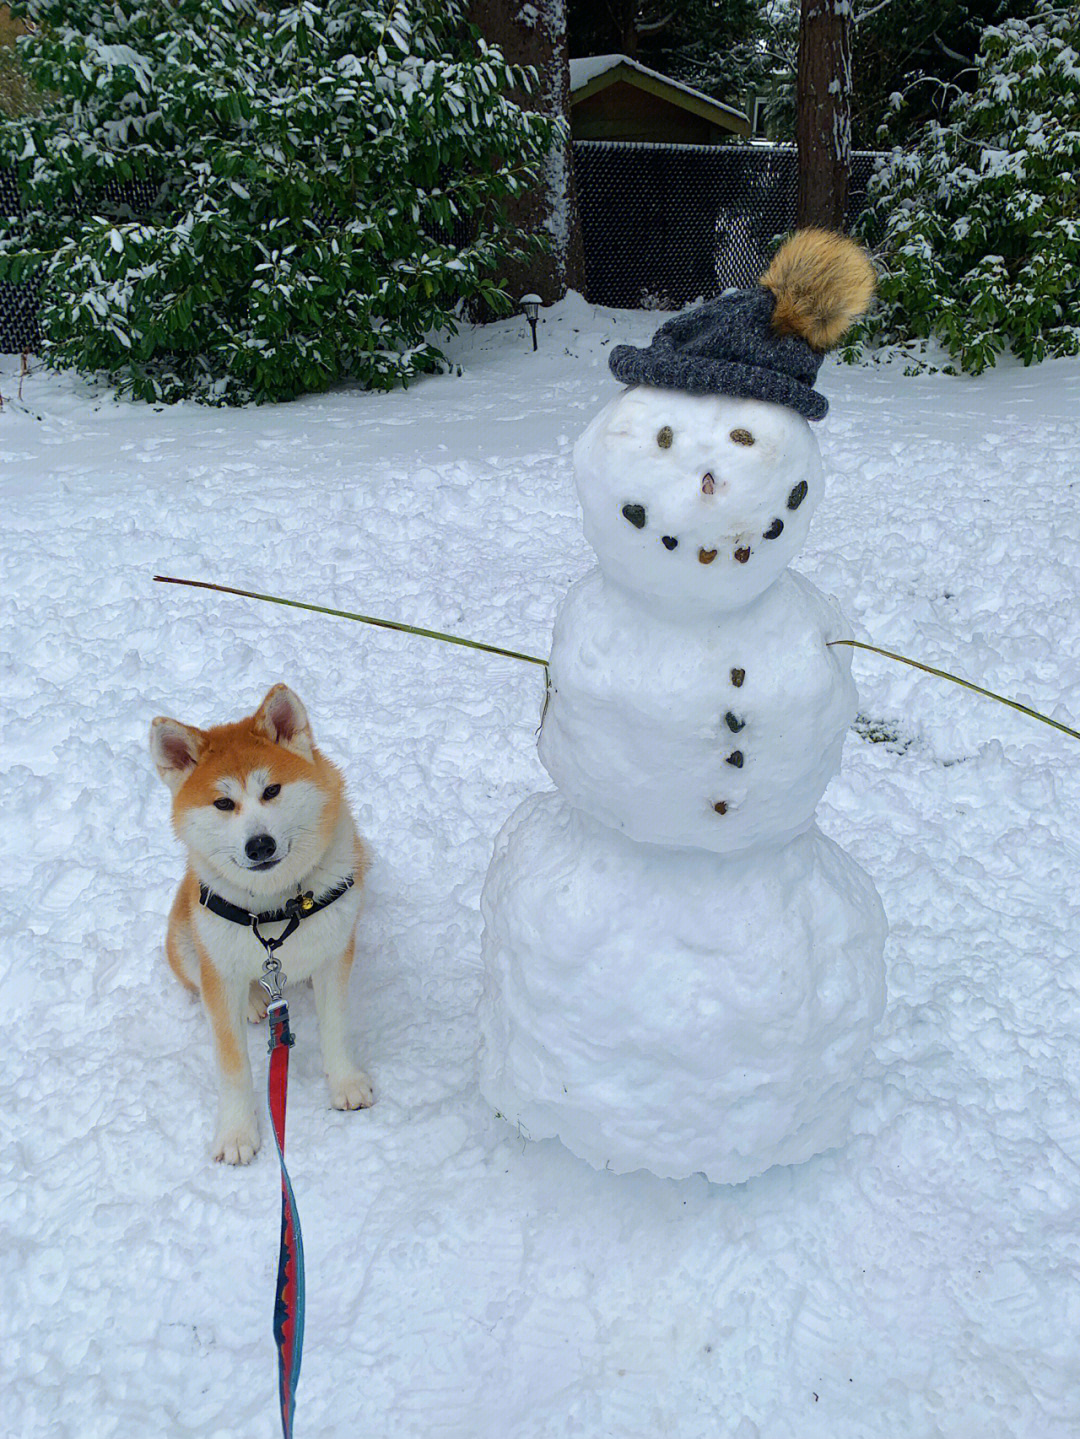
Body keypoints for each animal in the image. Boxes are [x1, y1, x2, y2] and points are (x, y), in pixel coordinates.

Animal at [150, 679, 373, 1162]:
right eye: (223, 802)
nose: (259, 845)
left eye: (271, 791)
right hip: (185, 939)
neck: (276, 907)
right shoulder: (219, 976)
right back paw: (255, 1001)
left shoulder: (335, 956)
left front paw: (345, 1082)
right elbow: (233, 1066)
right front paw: (236, 1133)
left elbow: (335, 1027)